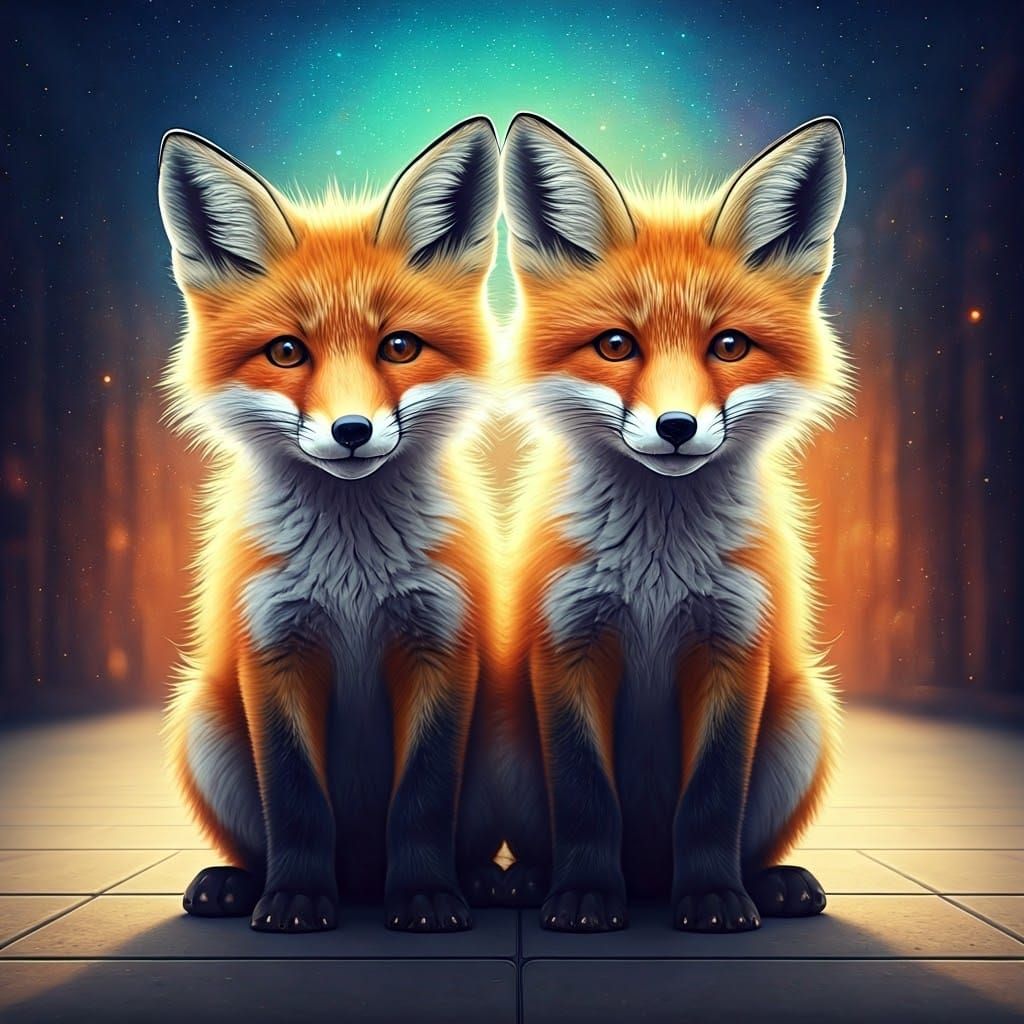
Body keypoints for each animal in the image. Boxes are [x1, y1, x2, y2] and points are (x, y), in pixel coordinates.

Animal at [158, 117, 501, 932]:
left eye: (399, 346)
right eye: (287, 351)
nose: (351, 432)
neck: (353, 574)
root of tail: (362, 879)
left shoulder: (440, 644)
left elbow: (421, 798)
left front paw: (425, 897)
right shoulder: (273, 649)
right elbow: (295, 800)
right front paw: (295, 900)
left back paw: (480, 880)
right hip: (201, 723)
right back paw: (236, 883)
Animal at [498, 113, 850, 932]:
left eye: (729, 345)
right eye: (616, 344)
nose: (677, 427)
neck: (656, 571)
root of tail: (649, 875)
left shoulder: (735, 647)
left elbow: (713, 800)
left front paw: (714, 899)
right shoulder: (567, 644)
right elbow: (587, 796)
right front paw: (586, 896)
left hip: (805, 716)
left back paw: (770, 883)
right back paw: (531, 880)